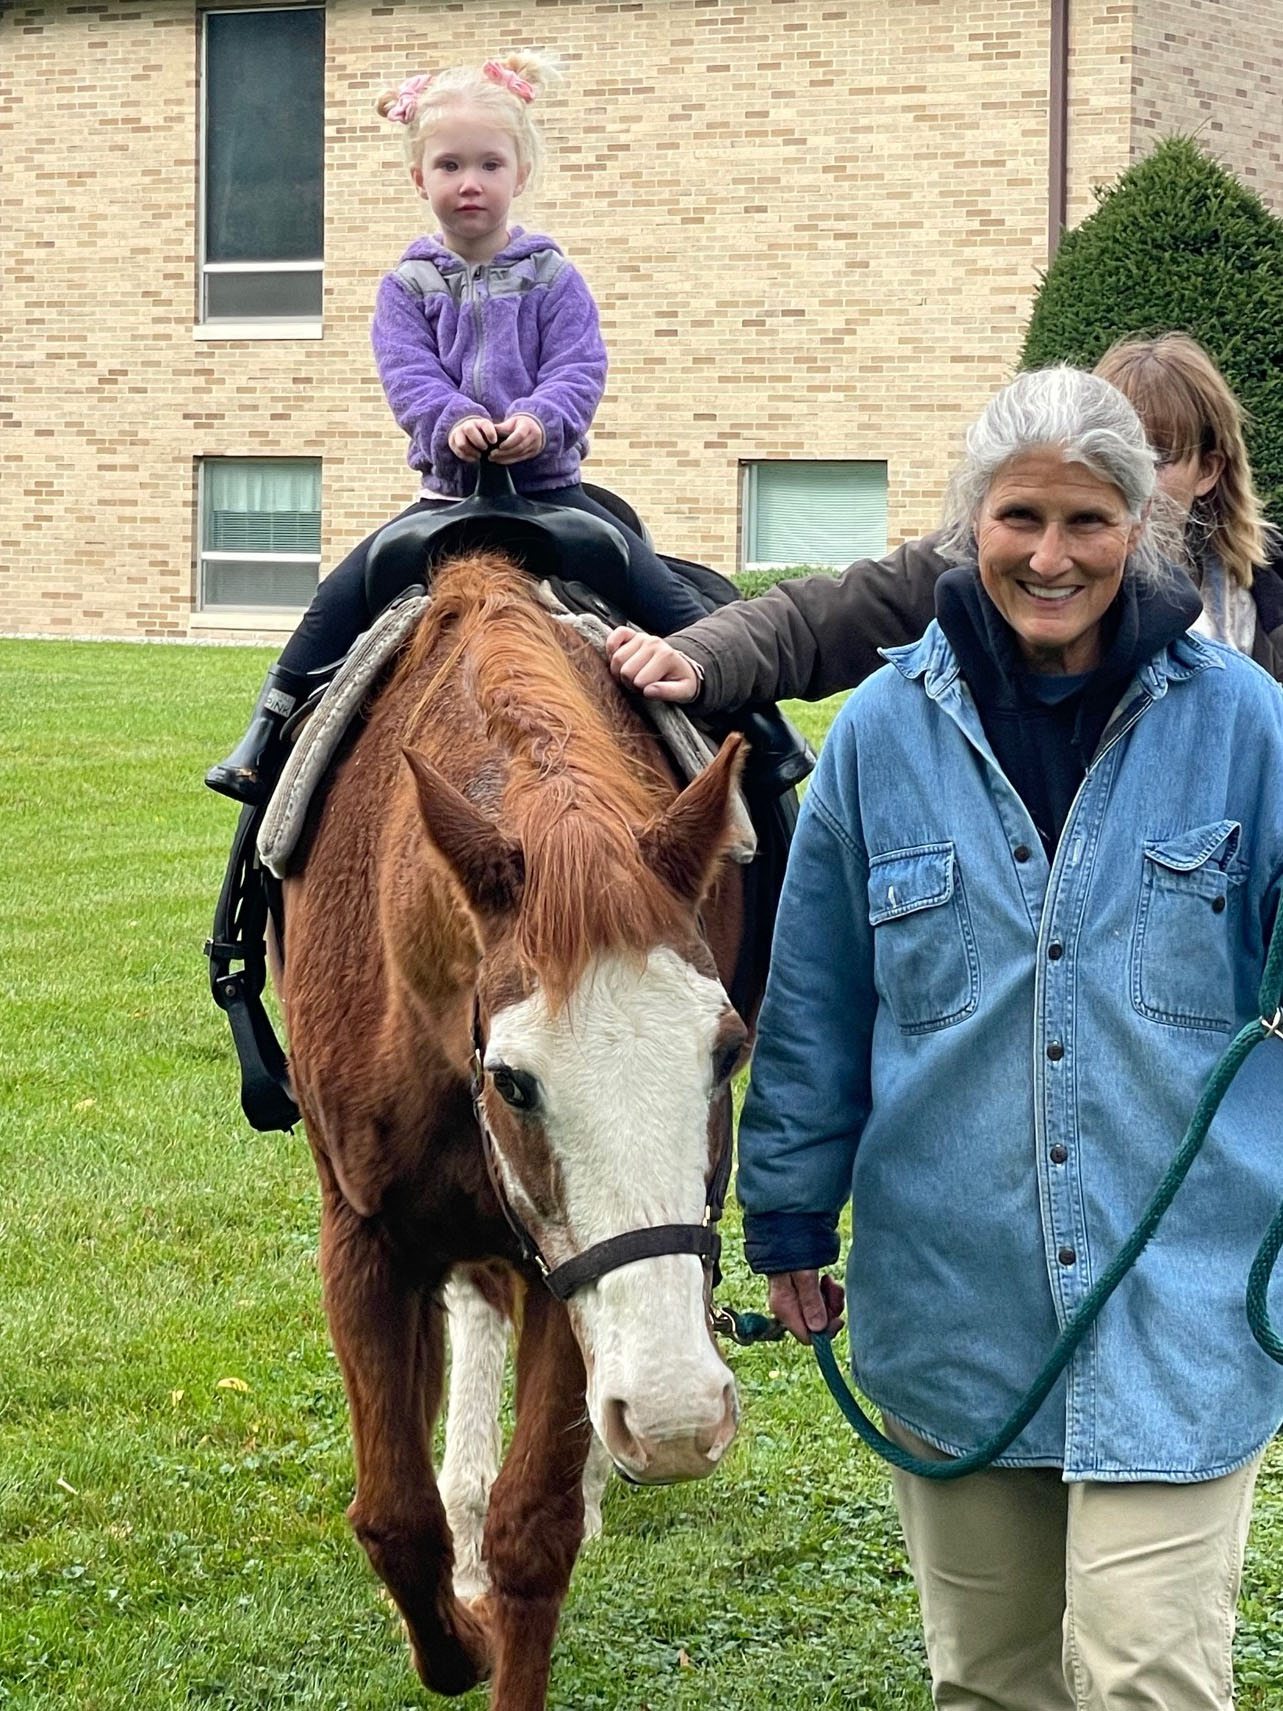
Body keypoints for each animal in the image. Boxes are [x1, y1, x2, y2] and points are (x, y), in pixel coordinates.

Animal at [277, 554, 749, 1704]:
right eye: (514, 1081)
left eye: (725, 1050)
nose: (678, 1414)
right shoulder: (363, 1233)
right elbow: (393, 1519)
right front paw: (460, 1621)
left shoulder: (565, 1268)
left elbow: (533, 1530)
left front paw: (499, 1603)